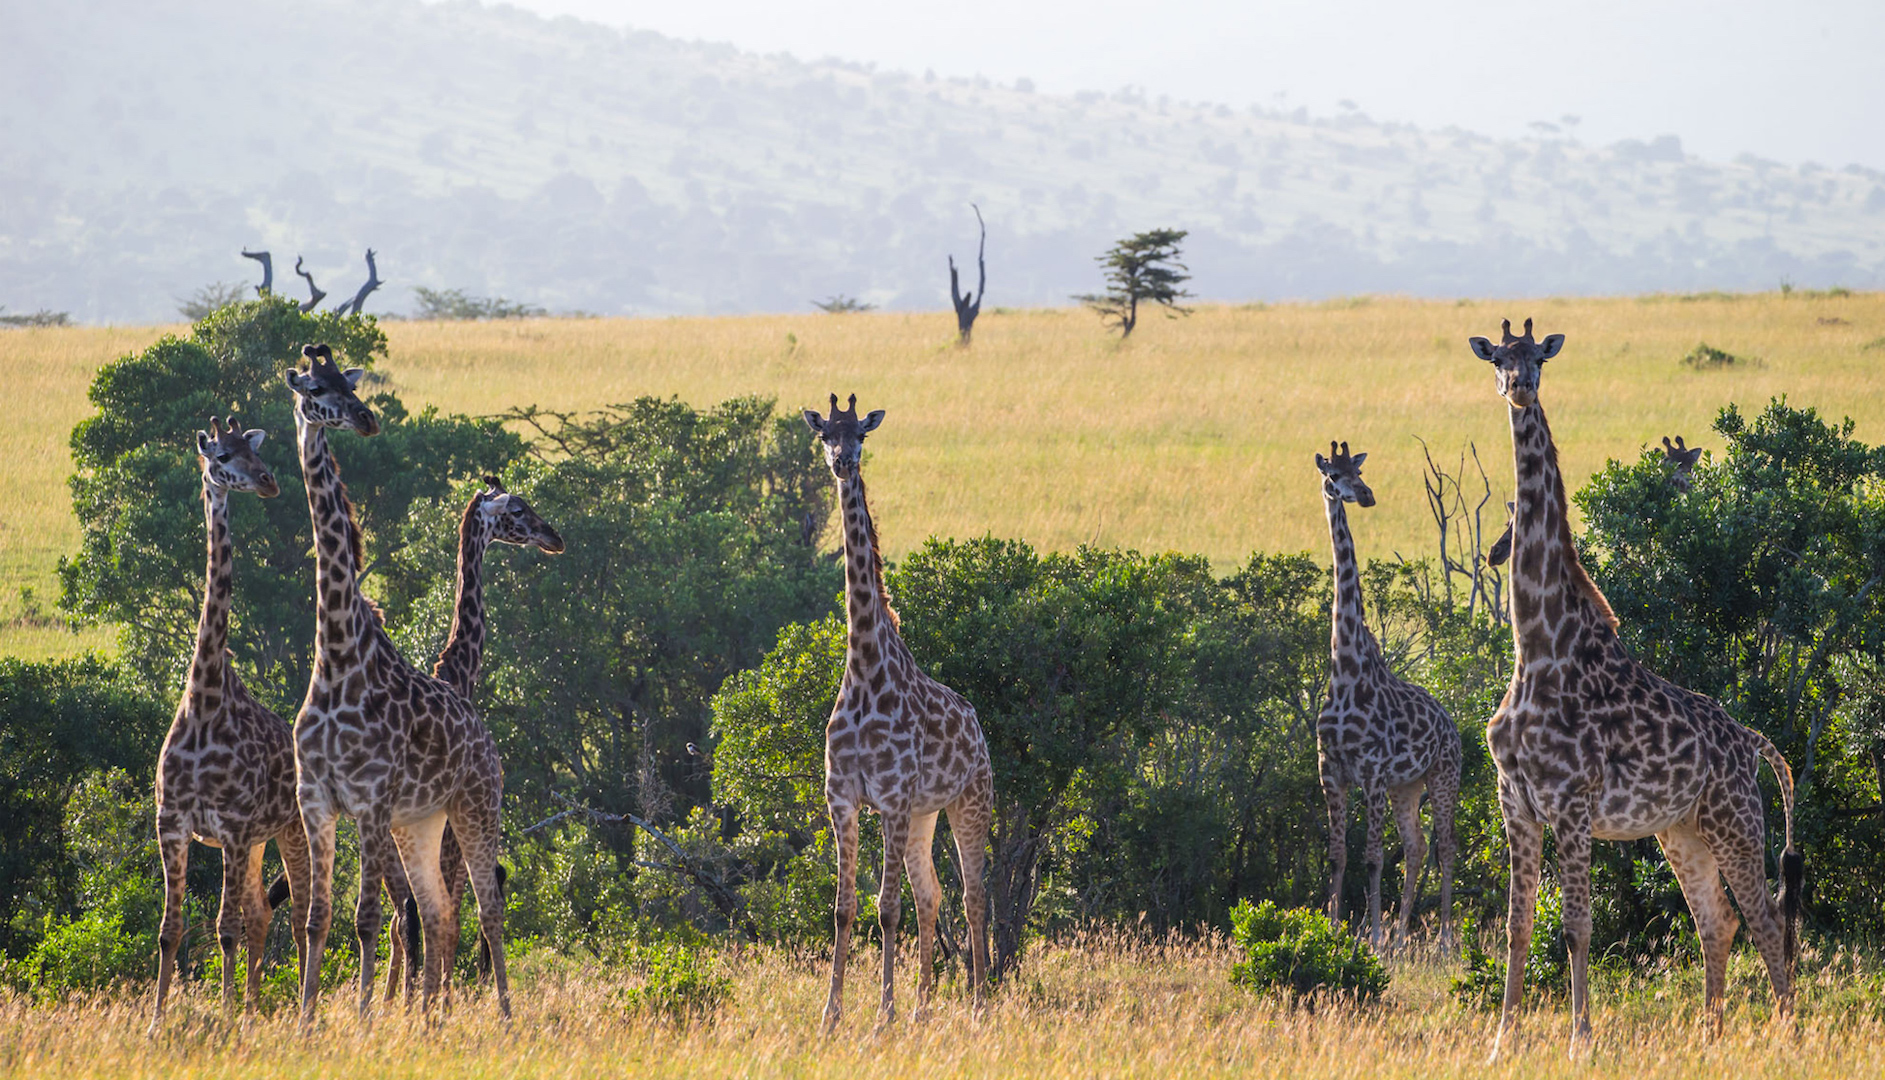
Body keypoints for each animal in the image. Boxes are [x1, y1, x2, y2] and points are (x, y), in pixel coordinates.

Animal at [150, 416, 311, 1032]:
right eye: (221, 455)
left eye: (253, 450)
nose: (268, 481)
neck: (204, 701)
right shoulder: (173, 823)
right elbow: (170, 930)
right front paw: (155, 1020)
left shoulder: (235, 827)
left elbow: (224, 929)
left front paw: (223, 1018)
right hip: (259, 843)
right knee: (263, 912)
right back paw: (251, 1006)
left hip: (290, 831)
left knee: (295, 918)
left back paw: (280, 1008)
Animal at [282, 341, 512, 1025]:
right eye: (315, 390)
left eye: (348, 383)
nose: (366, 419)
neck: (337, 657)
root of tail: (486, 739)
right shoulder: (317, 799)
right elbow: (317, 919)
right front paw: (306, 1021)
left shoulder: (370, 801)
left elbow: (362, 919)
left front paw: (361, 1019)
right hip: (422, 822)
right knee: (435, 913)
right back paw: (432, 1017)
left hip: (474, 806)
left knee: (484, 909)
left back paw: (505, 1015)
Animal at [803, 392, 995, 1025]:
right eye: (825, 434)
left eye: (861, 434)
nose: (842, 463)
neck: (866, 667)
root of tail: (979, 726)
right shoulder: (843, 799)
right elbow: (845, 908)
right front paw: (832, 1015)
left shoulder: (888, 799)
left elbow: (885, 908)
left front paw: (880, 1016)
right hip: (924, 815)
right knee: (930, 894)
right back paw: (922, 1010)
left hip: (969, 803)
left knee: (974, 895)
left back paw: (978, 1005)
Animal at [1311, 442, 1470, 946]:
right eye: (1333, 474)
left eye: (1360, 472)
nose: (1366, 496)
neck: (1345, 670)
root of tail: (1453, 725)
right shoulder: (1331, 770)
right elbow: (1338, 856)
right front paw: (1333, 929)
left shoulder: (1373, 771)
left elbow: (1372, 857)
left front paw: (1373, 937)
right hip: (1408, 785)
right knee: (1416, 845)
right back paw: (1402, 937)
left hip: (1442, 775)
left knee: (1445, 845)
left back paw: (1441, 938)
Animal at [1462, 316, 1802, 1055]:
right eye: (1497, 358)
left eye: (1538, 358)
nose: (1519, 388)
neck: (1536, 646)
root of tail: (1751, 741)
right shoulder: (1515, 802)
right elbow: (1517, 928)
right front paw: (1502, 1042)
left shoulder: (1570, 804)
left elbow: (1575, 928)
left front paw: (1579, 1041)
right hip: (1682, 829)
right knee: (1717, 921)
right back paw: (1708, 1037)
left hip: (1735, 819)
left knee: (1763, 917)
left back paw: (1788, 1035)